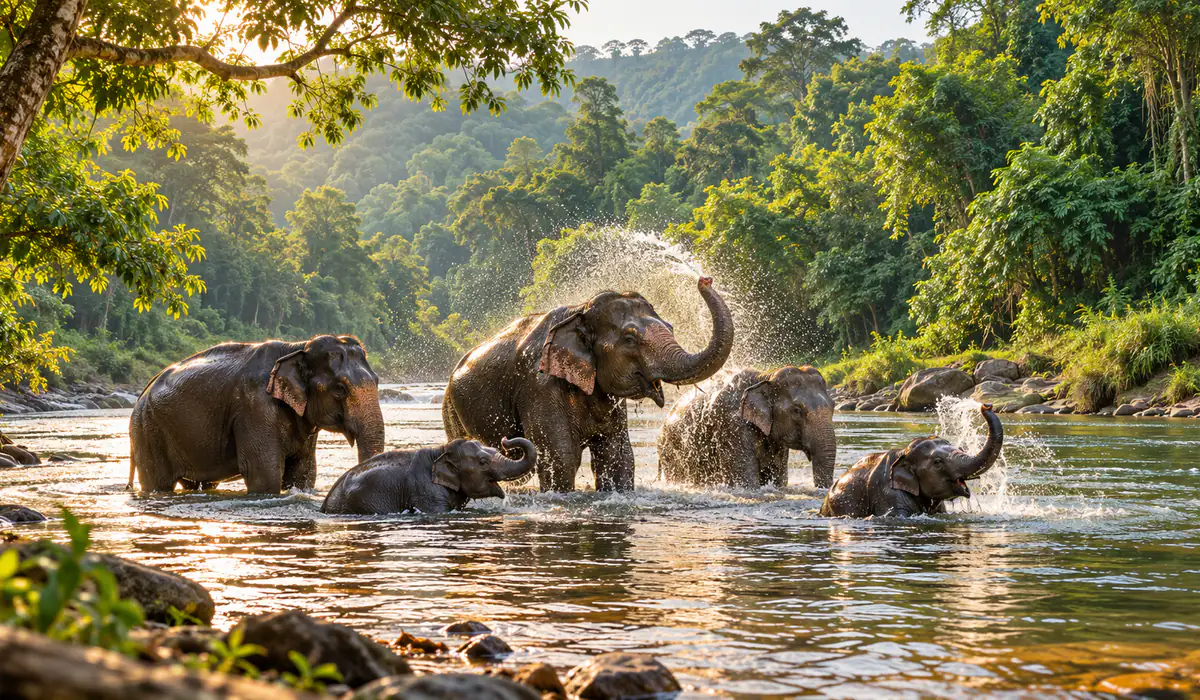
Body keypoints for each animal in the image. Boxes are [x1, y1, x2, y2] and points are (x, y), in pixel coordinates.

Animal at [129, 334, 386, 494]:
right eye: (340, 388)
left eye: (377, 381)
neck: (297, 347)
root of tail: (141, 396)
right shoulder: (255, 408)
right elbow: (264, 474)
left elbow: (303, 472)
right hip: (148, 431)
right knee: (158, 482)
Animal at [443, 276, 734, 492]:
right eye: (630, 338)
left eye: (671, 327)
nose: (704, 279)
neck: (580, 310)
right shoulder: (538, 386)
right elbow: (559, 457)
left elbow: (617, 455)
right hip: (452, 412)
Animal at [658, 366, 838, 489]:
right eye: (797, 411)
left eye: (834, 405)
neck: (765, 376)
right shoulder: (732, 427)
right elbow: (746, 483)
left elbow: (779, 478)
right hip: (670, 453)